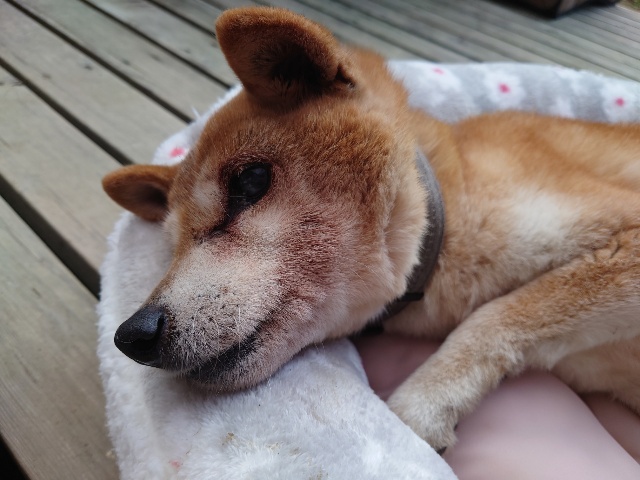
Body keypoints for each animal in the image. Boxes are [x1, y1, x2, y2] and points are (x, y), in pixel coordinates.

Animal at [102, 7, 640, 451]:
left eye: (250, 181)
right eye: (174, 246)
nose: (132, 334)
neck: (449, 210)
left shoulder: (624, 236)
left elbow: (493, 317)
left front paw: (419, 409)